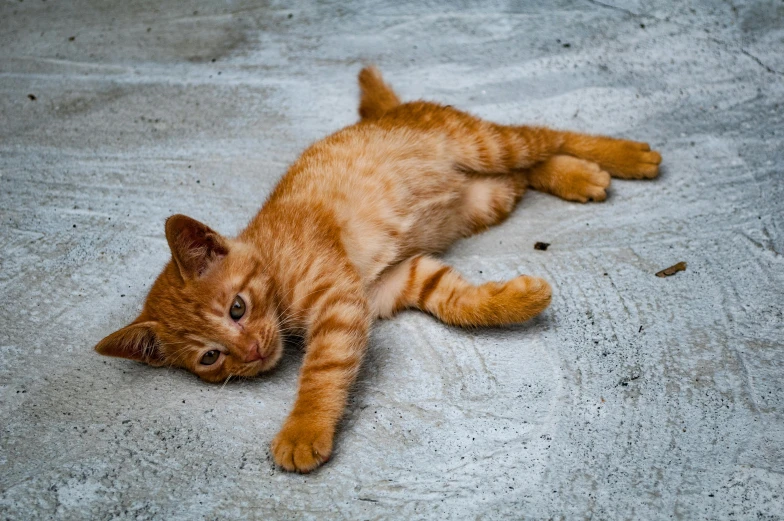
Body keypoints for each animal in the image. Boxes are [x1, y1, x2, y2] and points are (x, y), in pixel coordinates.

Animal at [96, 65, 660, 472]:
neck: (272, 263)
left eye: (237, 307)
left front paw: (303, 431)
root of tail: (388, 112)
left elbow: (321, 371)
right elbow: (457, 302)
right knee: (526, 169)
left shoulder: (339, 301)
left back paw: (621, 156)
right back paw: (578, 176)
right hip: (488, 196)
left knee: (541, 135)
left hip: (479, 141)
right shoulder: (394, 281)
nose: (252, 351)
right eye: (211, 358)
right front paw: (517, 300)